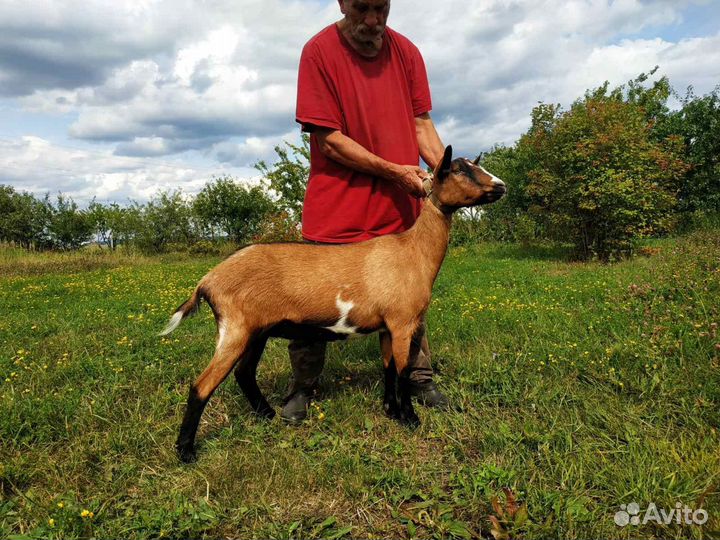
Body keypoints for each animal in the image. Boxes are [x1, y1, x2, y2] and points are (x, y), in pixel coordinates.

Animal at [161, 145, 506, 462]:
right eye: (458, 170)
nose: (501, 185)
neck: (412, 251)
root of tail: (206, 281)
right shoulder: (403, 322)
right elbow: (404, 372)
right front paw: (410, 419)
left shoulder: (387, 327)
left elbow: (389, 369)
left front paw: (390, 411)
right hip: (235, 330)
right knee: (201, 386)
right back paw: (186, 452)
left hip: (255, 331)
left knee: (244, 374)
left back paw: (268, 415)